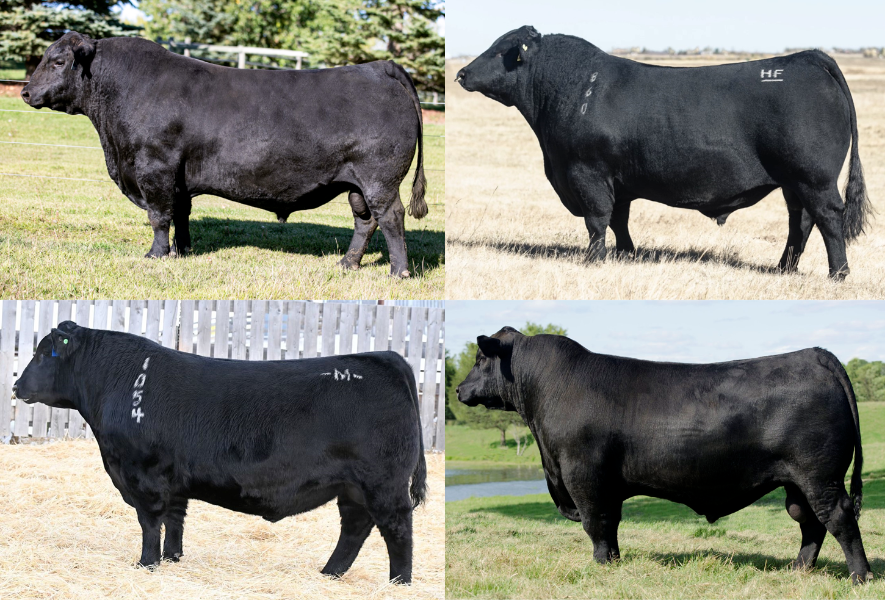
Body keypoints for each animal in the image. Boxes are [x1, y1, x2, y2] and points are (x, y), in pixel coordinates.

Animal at [12, 321, 426, 584]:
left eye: (43, 354)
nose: (16, 386)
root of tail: (385, 357)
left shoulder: (142, 475)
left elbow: (150, 523)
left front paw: (146, 565)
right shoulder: (173, 480)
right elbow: (175, 520)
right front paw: (173, 559)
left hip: (383, 484)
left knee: (397, 530)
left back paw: (398, 584)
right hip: (353, 487)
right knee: (355, 528)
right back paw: (330, 574)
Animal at [21, 32, 428, 278]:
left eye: (58, 61)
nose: (24, 92)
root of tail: (378, 67)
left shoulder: (154, 168)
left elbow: (159, 216)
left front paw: (156, 255)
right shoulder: (178, 178)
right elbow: (180, 214)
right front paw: (182, 251)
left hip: (380, 179)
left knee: (391, 217)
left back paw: (399, 272)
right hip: (356, 184)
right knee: (365, 221)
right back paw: (347, 263)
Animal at [456, 26, 871, 280]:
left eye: (500, 51)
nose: (461, 73)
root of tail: (809, 56)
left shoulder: (586, 172)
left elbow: (596, 220)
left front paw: (594, 260)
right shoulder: (617, 180)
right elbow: (618, 220)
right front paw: (626, 254)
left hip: (813, 178)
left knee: (828, 218)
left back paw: (838, 273)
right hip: (793, 182)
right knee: (799, 222)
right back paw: (784, 268)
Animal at [456, 327, 871, 583]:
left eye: (479, 359)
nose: (459, 389)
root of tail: (815, 354)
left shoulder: (583, 476)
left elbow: (596, 524)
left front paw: (600, 567)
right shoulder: (605, 485)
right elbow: (611, 524)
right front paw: (615, 563)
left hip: (820, 475)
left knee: (838, 517)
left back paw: (860, 576)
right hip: (798, 482)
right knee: (810, 522)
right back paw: (797, 570)